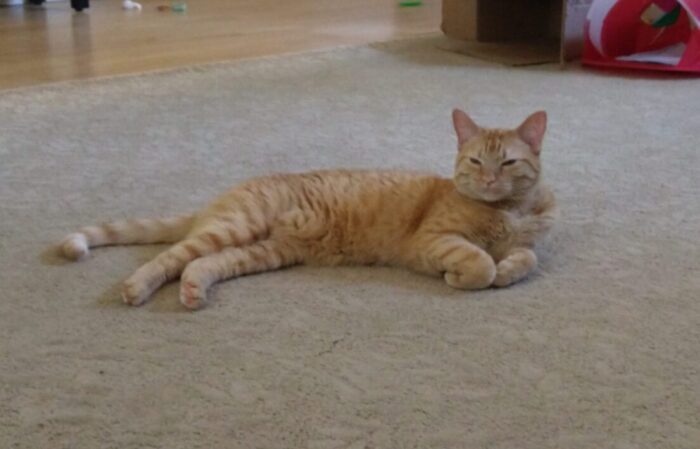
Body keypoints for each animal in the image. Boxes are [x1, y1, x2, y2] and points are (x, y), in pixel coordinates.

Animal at [58, 110, 556, 310]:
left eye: (507, 163)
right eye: (475, 161)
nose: (489, 180)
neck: (507, 210)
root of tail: (216, 201)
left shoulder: (528, 243)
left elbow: (527, 257)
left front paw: (509, 267)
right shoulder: (433, 239)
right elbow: (480, 264)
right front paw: (467, 275)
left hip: (261, 251)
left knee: (199, 264)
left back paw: (195, 291)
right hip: (236, 227)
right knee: (168, 258)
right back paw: (137, 287)